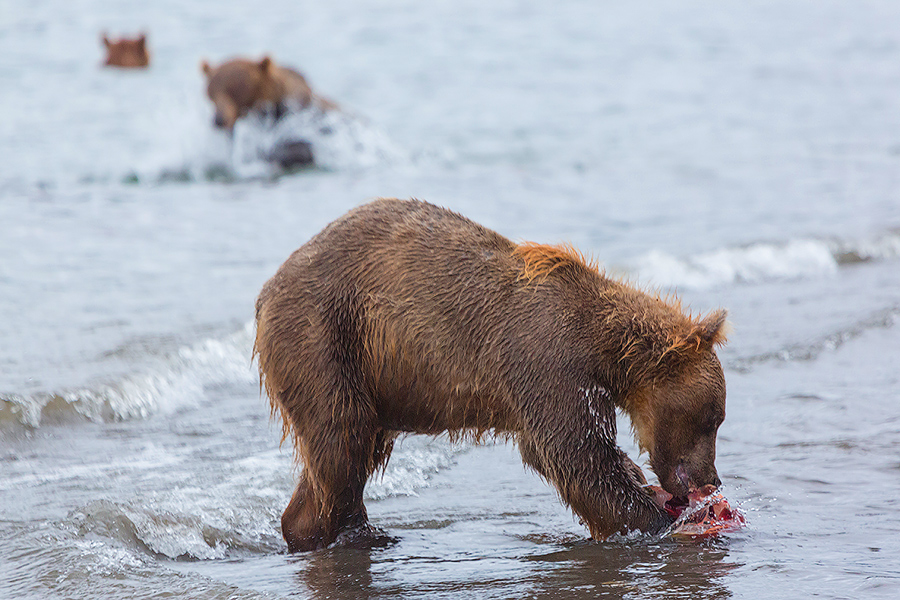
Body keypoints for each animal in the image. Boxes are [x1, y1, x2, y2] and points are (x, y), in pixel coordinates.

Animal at [253, 198, 732, 552]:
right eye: (713, 419)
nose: (713, 479)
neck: (604, 348)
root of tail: (267, 290)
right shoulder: (548, 360)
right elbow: (576, 454)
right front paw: (660, 520)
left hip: (367, 372)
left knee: (355, 448)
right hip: (325, 336)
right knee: (341, 439)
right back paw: (352, 534)